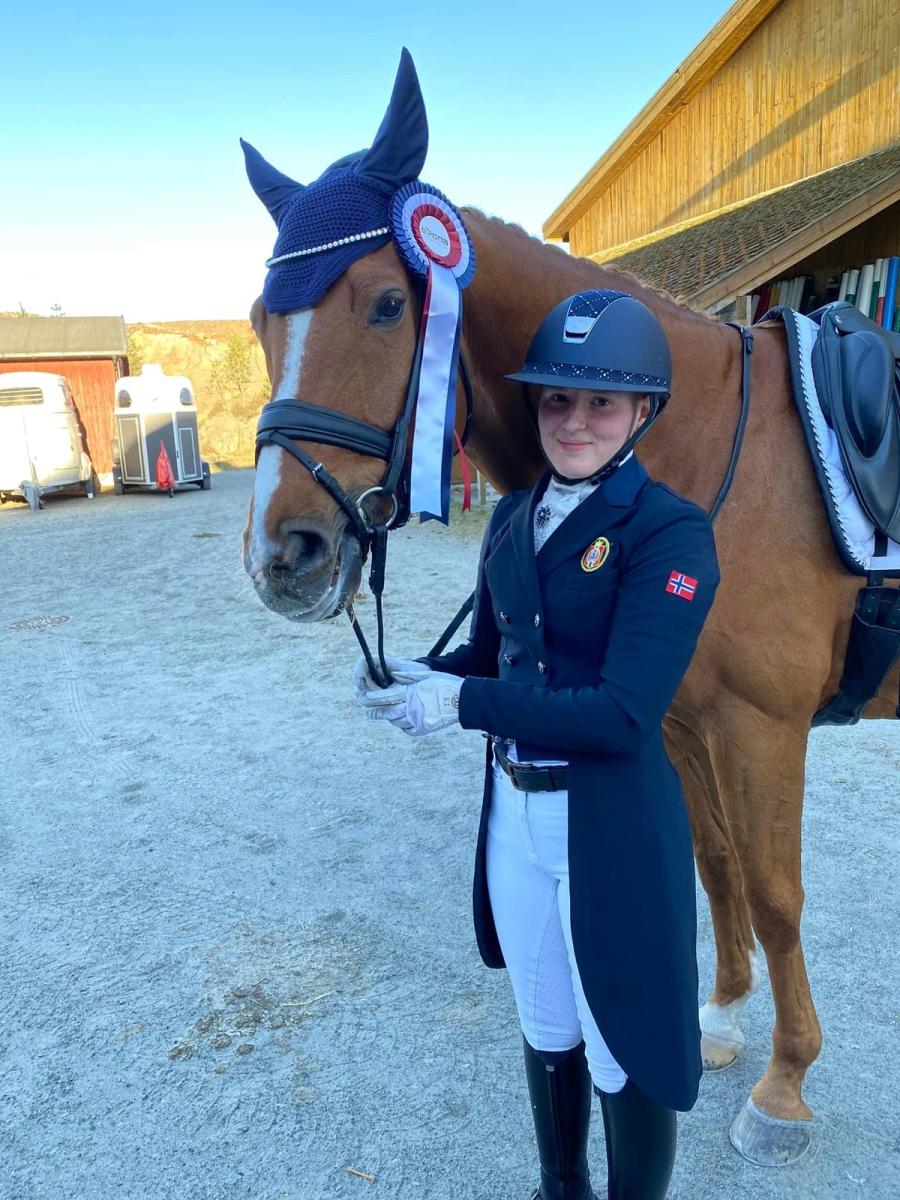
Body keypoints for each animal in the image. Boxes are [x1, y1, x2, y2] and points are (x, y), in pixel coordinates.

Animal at [240, 58, 899, 1167]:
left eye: (387, 304)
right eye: (259, 318)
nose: (283, 557)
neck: (701, 444)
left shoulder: (761, 727)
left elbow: (774, 893)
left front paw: (785, 1086)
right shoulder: (677, 719)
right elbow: (716, 867)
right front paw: (721, 1018)